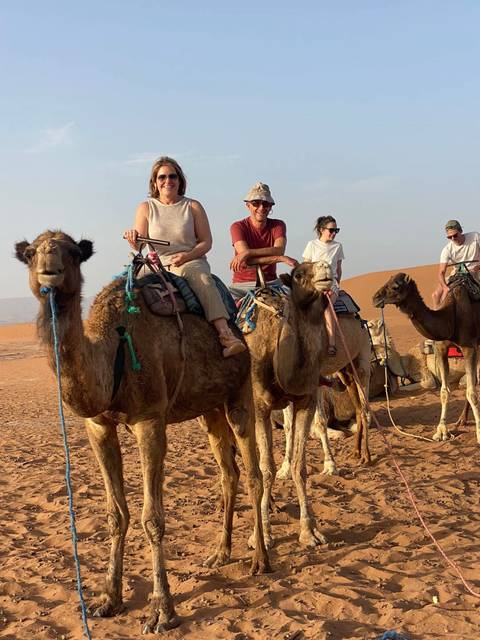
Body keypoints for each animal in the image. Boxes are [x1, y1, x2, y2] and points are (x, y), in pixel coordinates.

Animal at [15, 230, 270, 634]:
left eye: (73, 253)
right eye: (29, 254)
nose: (49, 273)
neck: (113, 351)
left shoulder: (150, 421)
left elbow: (153, 518)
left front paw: (162, 610)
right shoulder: (98, 426)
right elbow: (115, 515)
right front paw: (108, 599)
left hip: (240, 390)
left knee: (253, 472)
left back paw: (259, 559)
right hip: (208, 407)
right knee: (227, 473)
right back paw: (219, 553)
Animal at [244, 262, 371, 548]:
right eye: (299, 274)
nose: (325, 271)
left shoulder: (306, 397)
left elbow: (300, 466)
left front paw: (309, 531)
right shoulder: (260, 409)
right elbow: (266, 469)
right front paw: (262, 534)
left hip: (360, 360)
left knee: (364, 407)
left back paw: (365, 455)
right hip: (345, 371)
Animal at [373, 272, 480, 442]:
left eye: (396, 286)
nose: (375, 298)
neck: (450, 318)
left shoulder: (469, 348)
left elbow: (472, 393)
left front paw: (479, 434)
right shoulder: (441, 349)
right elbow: (444, 392)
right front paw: (441, 432)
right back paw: (461, 420)